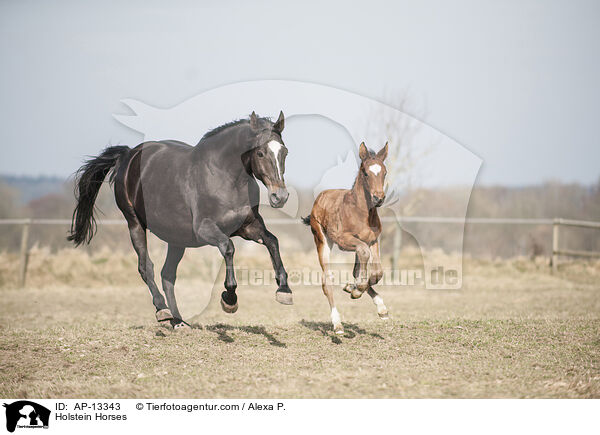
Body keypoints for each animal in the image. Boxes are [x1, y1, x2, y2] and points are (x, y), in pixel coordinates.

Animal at [304, 141, 390, 336]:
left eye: (384, 172)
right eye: (365, 172)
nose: (378, 198)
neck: (361, 213)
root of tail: (320, 197)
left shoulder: (373, 241)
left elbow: (377, 271)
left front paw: (355, 288)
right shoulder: (344, 240)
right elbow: (364, 257)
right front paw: (356, 289)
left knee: (356, 269)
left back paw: (377, 304)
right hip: (322, 239)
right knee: (327, 281)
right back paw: (337, 324)